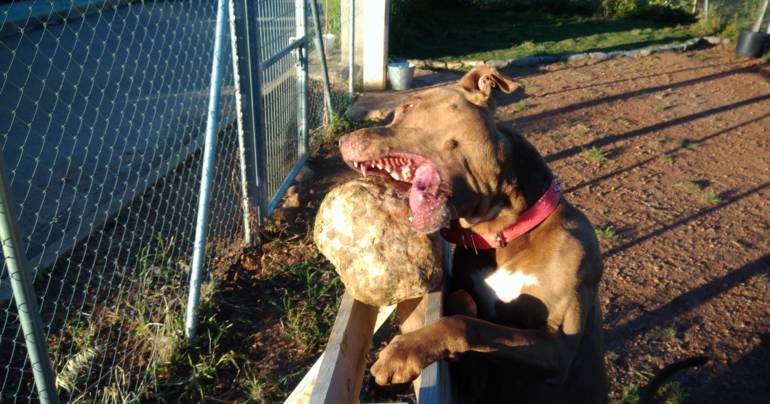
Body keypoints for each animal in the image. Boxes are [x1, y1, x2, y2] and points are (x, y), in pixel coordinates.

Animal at [340, 64, 604, 402]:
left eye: (407, 107)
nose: (343, 139)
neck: (505, 235)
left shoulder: (557, 345)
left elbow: (465, 325)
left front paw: (402, 352)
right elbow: (462, 303)